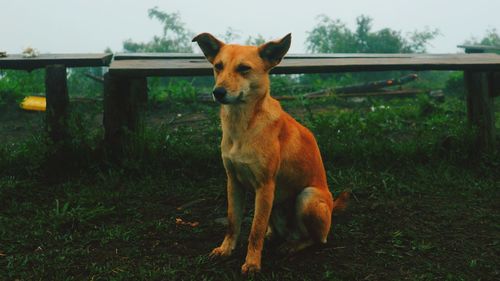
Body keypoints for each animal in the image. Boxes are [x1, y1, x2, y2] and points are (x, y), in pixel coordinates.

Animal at [191, 32, 348, 274]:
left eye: (244, 68)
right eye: (218, 66)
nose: (218, 92)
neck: (243, 125)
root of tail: (332, 208)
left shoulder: (265, 185)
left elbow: (255, 230)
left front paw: (252, 263)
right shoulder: (233, 182)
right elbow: (233, 222)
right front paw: (226, 249)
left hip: (308, 197)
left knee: (316, 239)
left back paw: (292, 246)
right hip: (275, 205)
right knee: (274, 228)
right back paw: (274, 236)